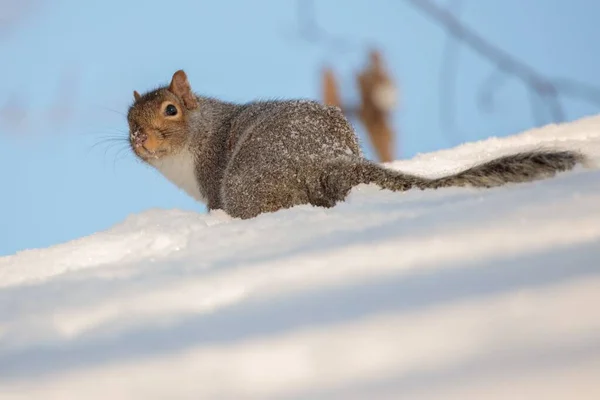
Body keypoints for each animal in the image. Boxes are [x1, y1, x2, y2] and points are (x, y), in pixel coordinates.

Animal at [127, 69, 584, 219]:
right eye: (129, 120)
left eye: (171, 110)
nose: (140, 138)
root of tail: (325, 158)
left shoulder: (210, 171)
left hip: (246, 188)